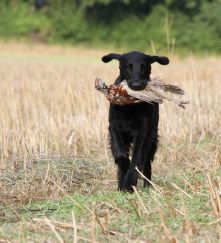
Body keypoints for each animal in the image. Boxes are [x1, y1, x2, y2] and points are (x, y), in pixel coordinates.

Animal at [102, 51, 169, 192]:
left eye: (144, 66)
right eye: (128, 66)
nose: (136, 86)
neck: (130, 107)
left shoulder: (142, 133)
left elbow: (136, 160)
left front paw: (129, 184)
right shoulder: (114, 128)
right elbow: (121, 155)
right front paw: (123, 177)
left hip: (152, 136)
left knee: (146, 162)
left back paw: (147, 186)